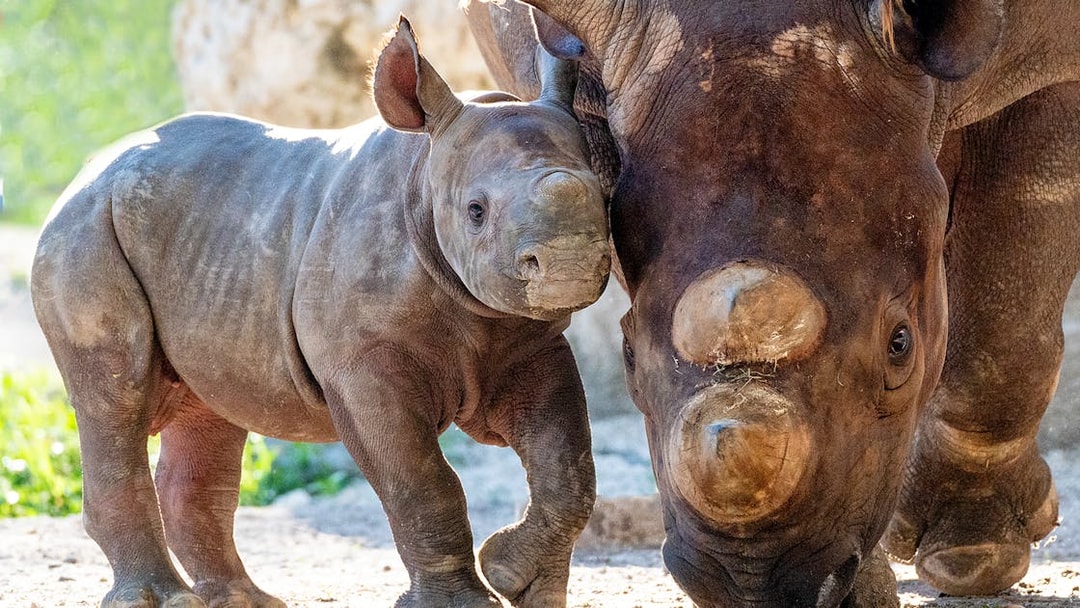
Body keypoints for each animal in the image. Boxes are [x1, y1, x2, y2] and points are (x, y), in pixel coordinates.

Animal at [31, 17, 609, 608]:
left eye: (608, 197)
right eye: (476, 212)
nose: (569, 263)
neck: (424, 173)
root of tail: (87, 171)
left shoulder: (530, 341)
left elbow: (568, 467)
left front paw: (519, 579)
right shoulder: (360, 363)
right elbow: (421, 481)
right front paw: (464, 602)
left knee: (209, 409)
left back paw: (246, 600)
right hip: (84, 232)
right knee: (115, 399)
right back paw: (166, 598)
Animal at [466, 1, 1080, 606]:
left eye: (900, 346)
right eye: (627, 356)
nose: (751, 580)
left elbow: (1009, 308)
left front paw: (971, 556)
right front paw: (866, 588)